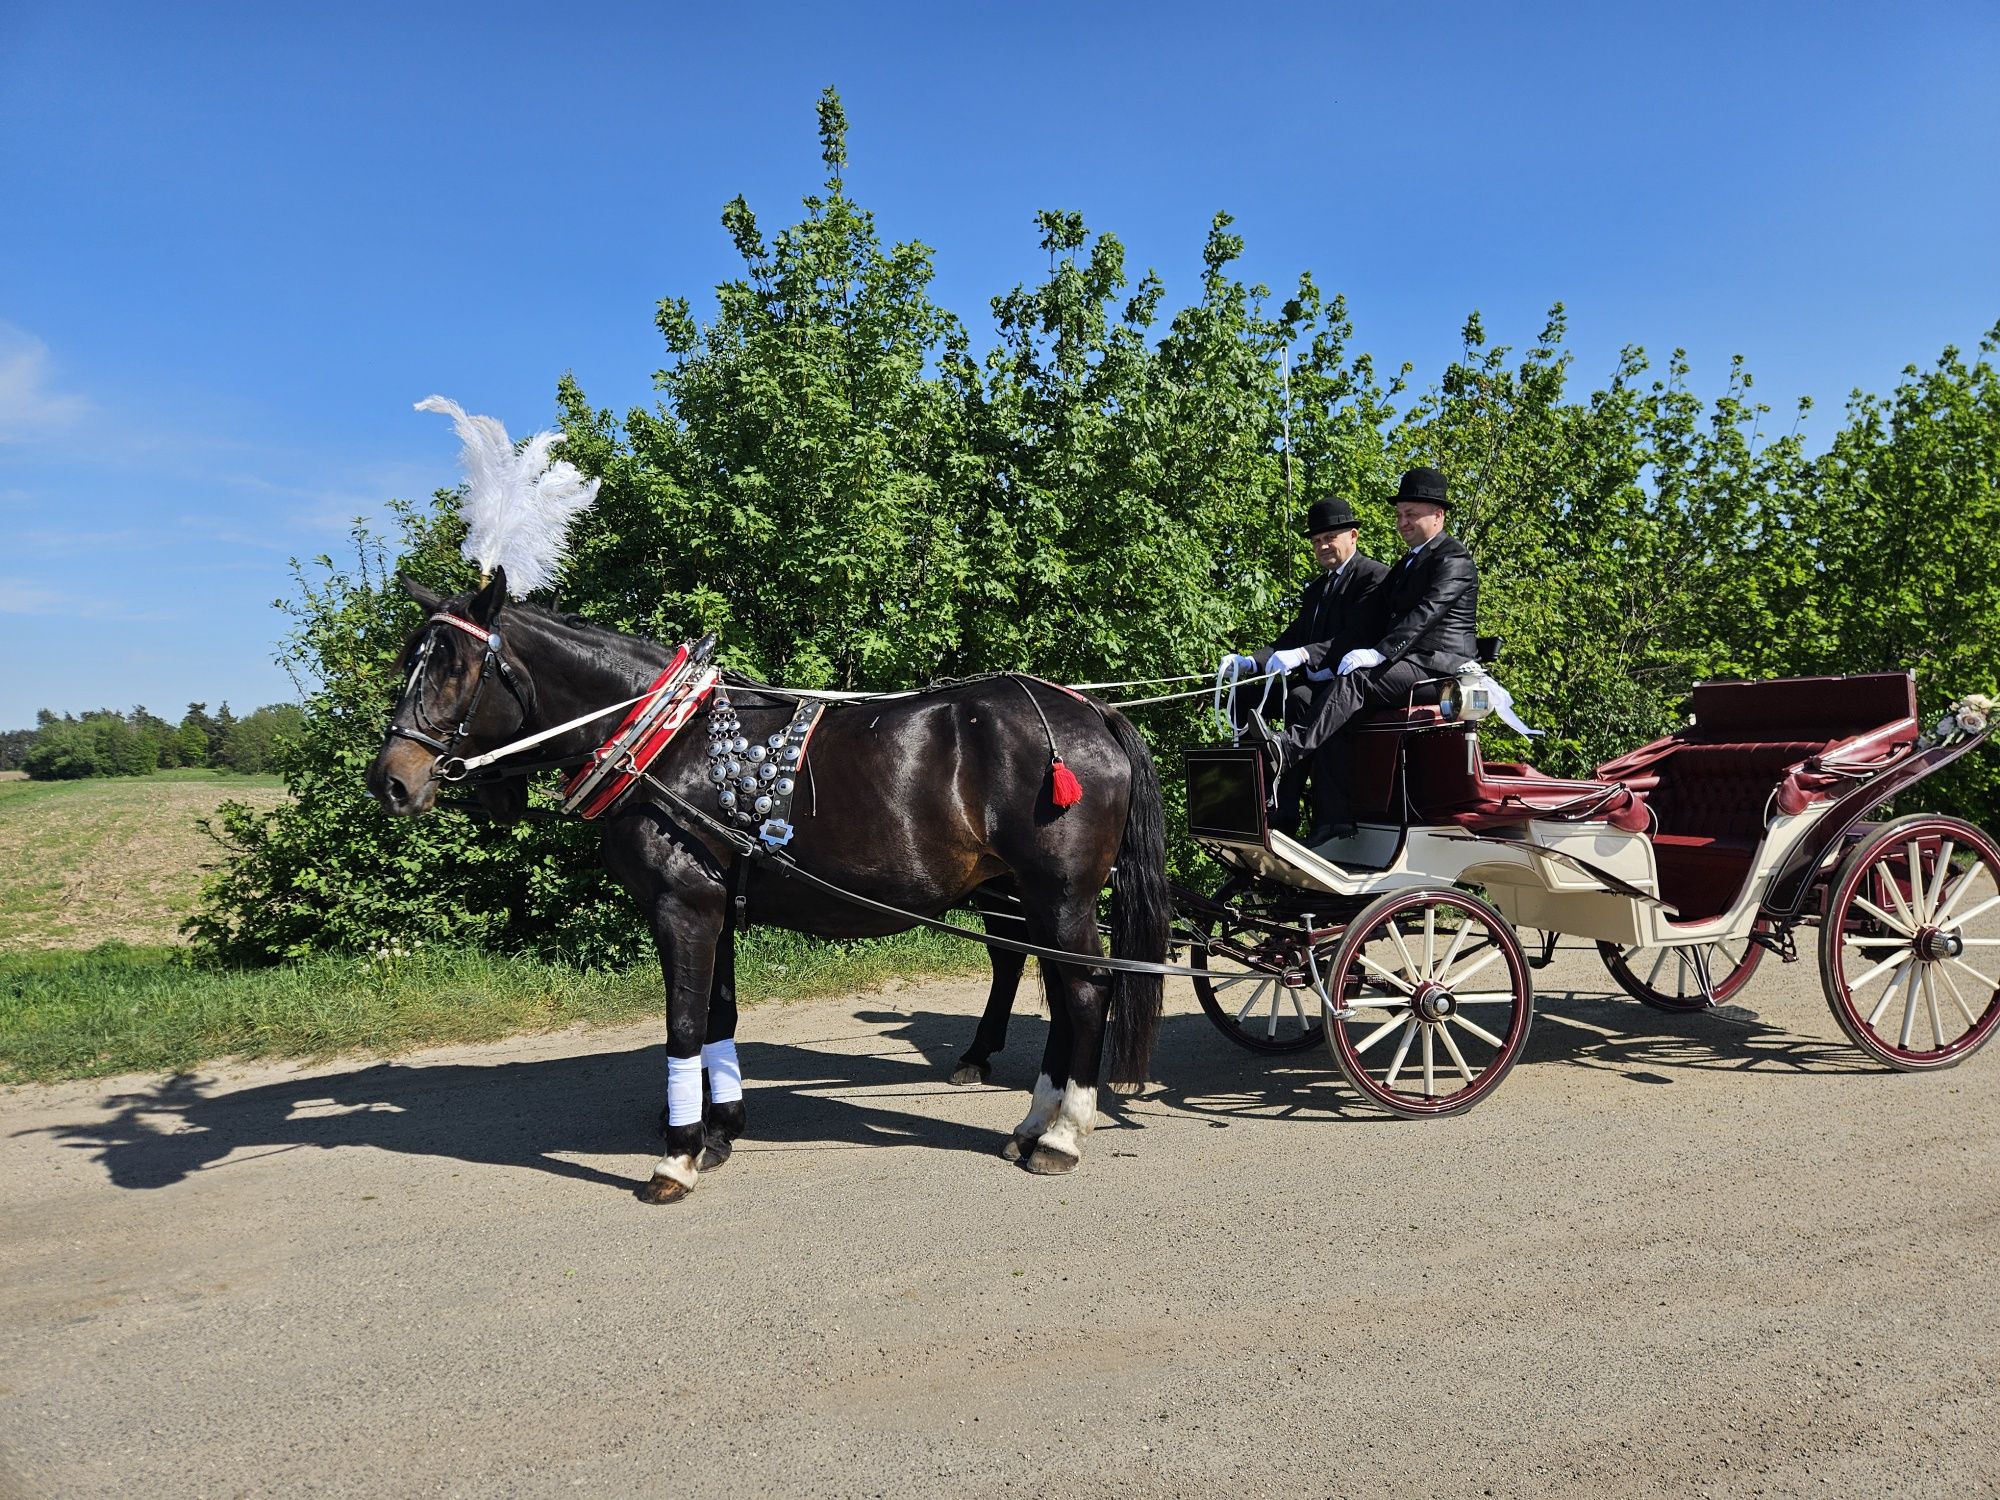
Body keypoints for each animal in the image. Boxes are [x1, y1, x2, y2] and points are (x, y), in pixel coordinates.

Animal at [366, 568, 1168, 1208]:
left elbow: (683, 1024)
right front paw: (720, 1131)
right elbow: (718, 1017)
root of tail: (1088, 709)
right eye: (411, 661)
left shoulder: (682, 908)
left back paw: (1062, 1136)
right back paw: (1032, 1122)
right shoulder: (715, 909)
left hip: (1058, 892)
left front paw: (677, 1157)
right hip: (1024, 892)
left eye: (455, 668)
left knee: (1085, 991)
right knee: (1052, 983)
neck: (670, 746)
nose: (390, 782)